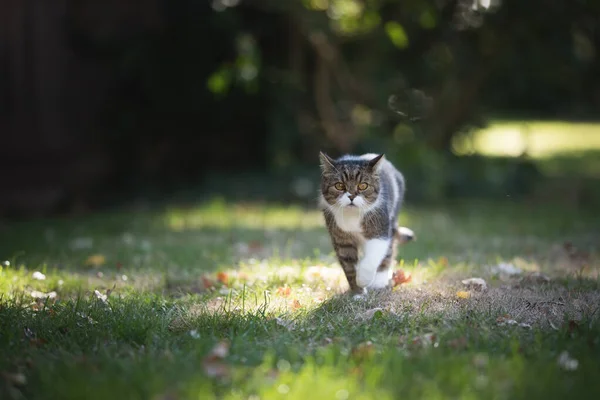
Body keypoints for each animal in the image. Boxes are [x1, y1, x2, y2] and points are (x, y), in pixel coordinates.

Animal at [318, 152, 412, 296]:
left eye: (363, 186)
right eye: (339, 185)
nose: (351, 196)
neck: (352, 217)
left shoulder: (380, 229)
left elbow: (372, 258)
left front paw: (363, 279)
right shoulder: (341, 240)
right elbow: (349, 266)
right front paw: (358, 292)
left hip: (391, 220)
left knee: (388, 252)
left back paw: (379, 281)